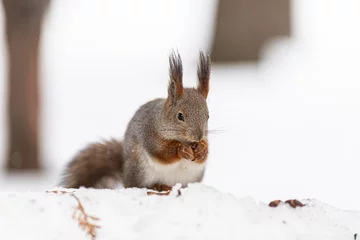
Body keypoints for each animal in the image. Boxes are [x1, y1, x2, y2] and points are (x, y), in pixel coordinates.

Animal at [59, 50, 211, 191]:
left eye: (208, 115)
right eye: (180, 116)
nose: (198, 137)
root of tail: (125, 175)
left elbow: (203, 156)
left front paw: (202, 150)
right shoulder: (150, 134)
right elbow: (162, 153)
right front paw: (182, 149)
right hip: (140, 170)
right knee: (138, 185)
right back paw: (159, 186)